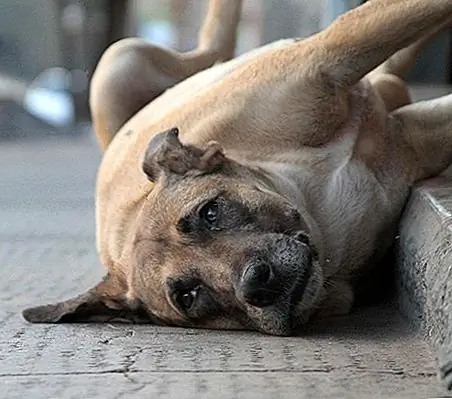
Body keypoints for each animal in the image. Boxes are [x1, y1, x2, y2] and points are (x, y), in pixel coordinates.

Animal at [23, 0, 452, 338]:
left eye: (209, 212)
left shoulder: (331, 58)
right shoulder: (410, 142)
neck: (311, 197)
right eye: (188, 296)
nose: (258, 284)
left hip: (120, 60)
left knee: (214, 44)